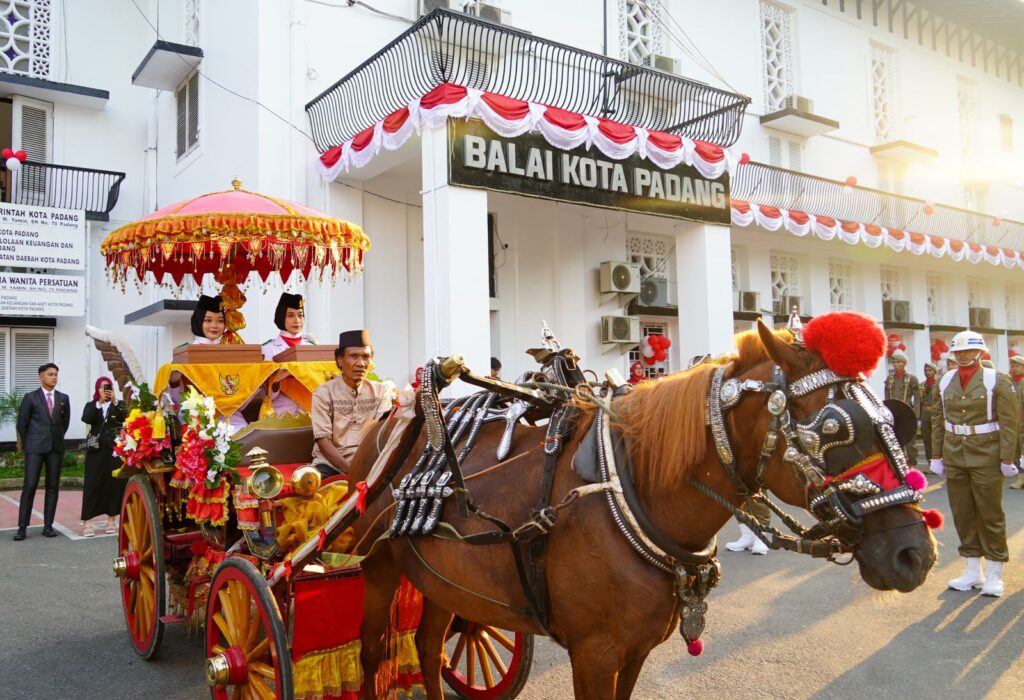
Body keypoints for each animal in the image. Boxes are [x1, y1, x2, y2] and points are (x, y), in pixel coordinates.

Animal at [350, 319, 937, 695]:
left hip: (441, 578)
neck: (630, 493)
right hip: (377, 566)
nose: (915, 554)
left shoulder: (635, 650)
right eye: (834, 428)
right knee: (373, 653)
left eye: (890, 418)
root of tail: (391, 418)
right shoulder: (593, 654)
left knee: (429, 645)